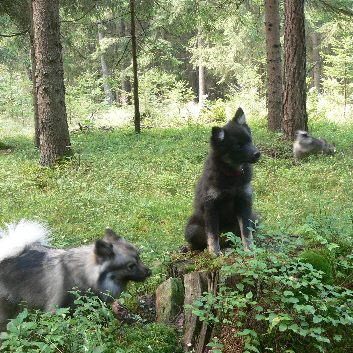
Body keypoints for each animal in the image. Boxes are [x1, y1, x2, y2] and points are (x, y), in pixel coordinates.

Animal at [186, 106, 260, 254]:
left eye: (250, 140)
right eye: (238, 146)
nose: (258, 154)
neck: (232, 174)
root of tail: (225, 241)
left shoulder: (244, 202)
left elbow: (246, 231)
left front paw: (249, 249)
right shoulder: (211, 206)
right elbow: (212, 233)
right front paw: (214, 252)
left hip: (254, 218)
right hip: (192, 228)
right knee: (197, 243)